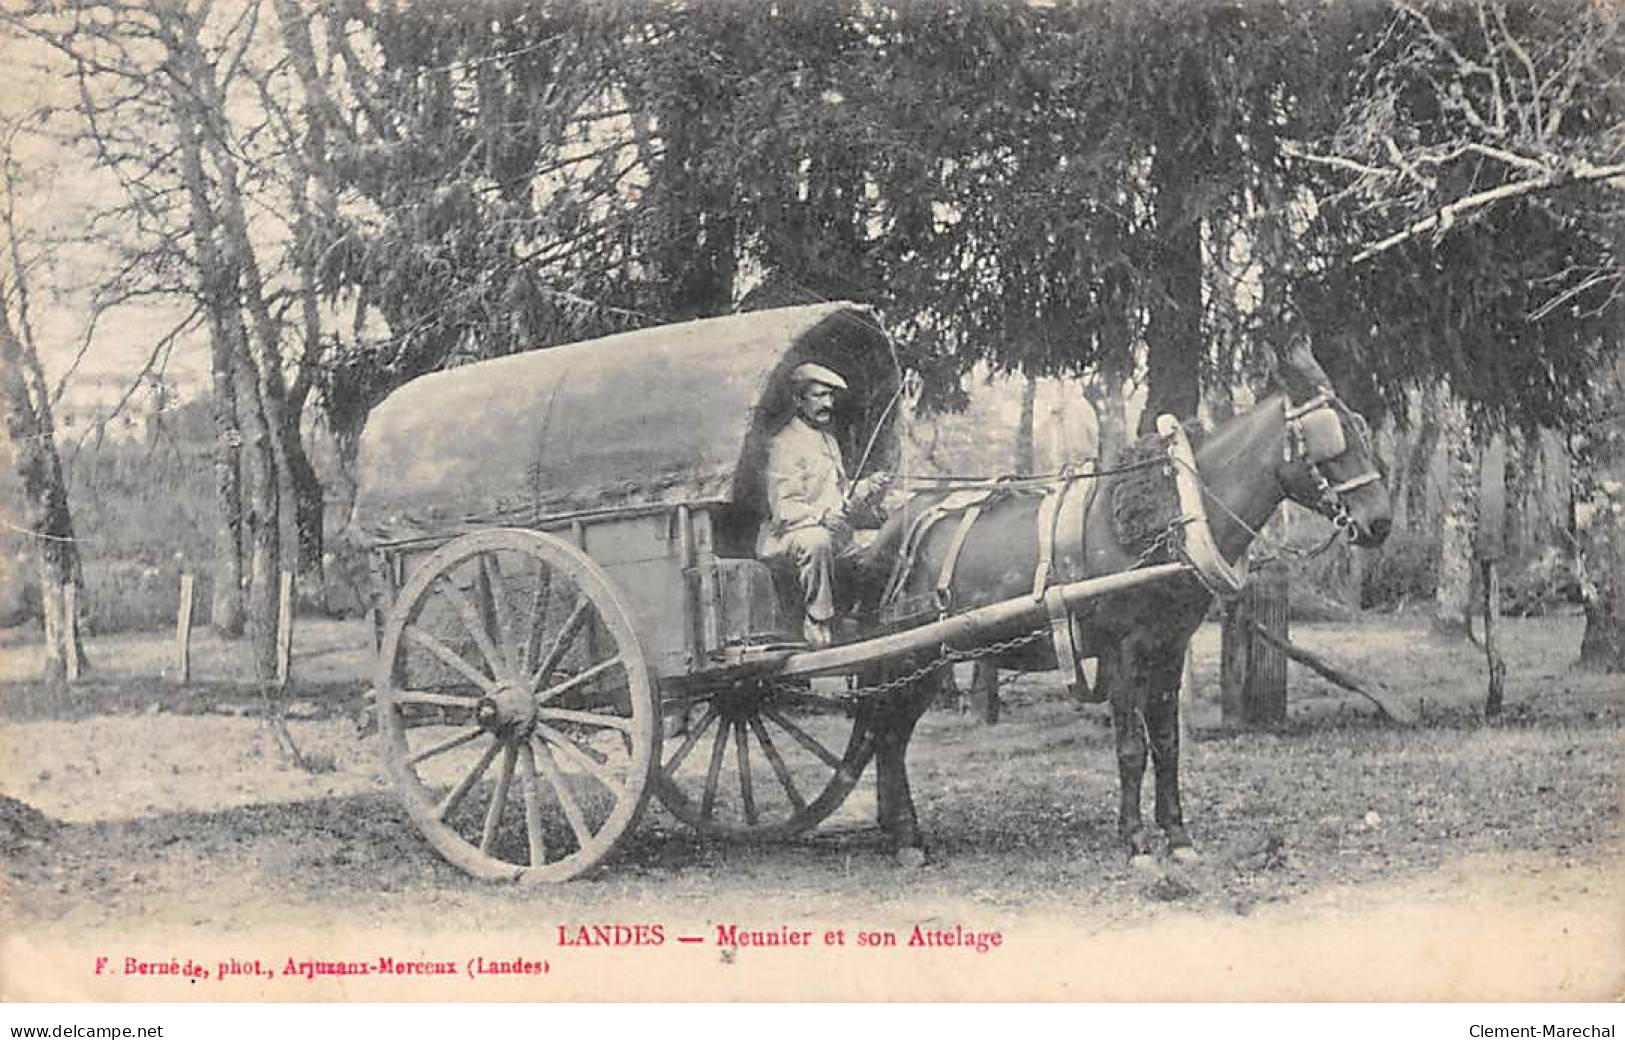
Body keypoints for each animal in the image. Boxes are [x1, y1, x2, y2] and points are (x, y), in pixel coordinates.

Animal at [851, 341, 1397, 871]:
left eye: (1360, 427)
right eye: (1332, 439)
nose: (1380, 522)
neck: (1173, 516)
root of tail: (889, 529)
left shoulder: (1169, 648)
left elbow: (1168, 743)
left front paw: (1177, 836)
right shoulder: (1124, 651)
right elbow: (1132, 748)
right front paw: (1136, 841)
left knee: (887, 735)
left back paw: (896, 830)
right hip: (912, 657)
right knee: (890, 737)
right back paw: (907, 838)